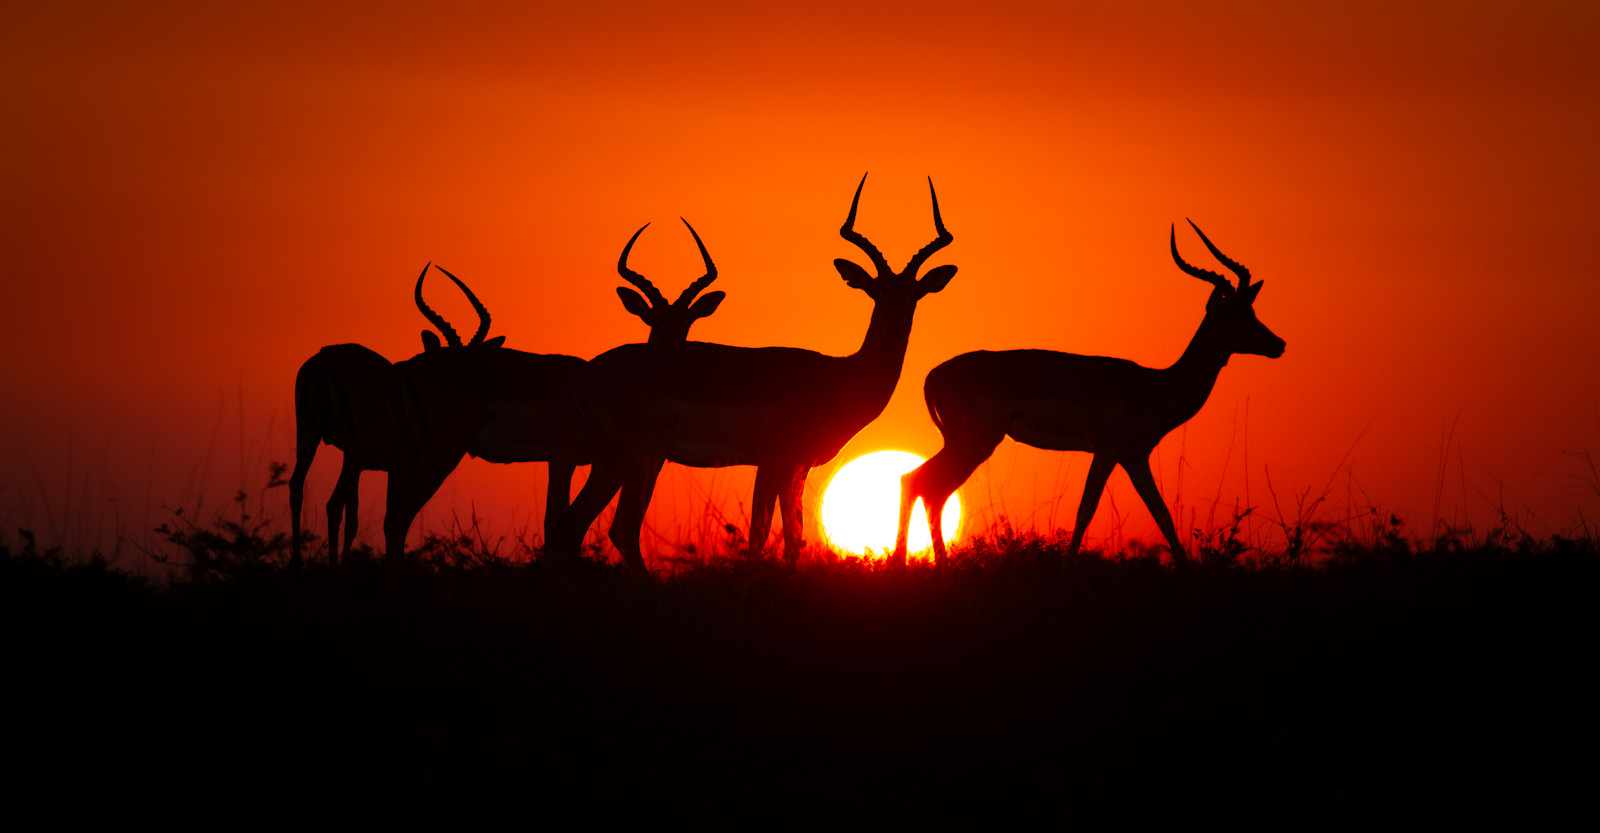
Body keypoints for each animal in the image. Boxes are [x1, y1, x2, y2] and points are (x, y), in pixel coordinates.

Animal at [288, 263, 502, 570]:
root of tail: (325, 363)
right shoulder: (403, 466)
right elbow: (393, 521)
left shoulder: (374, 466)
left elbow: (357, 518)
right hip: (353, 449)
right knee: (333, 504)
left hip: (310, 437)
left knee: (297, 488)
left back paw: (297, 565)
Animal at [382, 221, 723, 561]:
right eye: (652, 320)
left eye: (689, 321)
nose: (673, 360)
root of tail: (405, 369)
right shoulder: (563, 457)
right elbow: (555, 522)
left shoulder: (599, 463)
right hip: (440, 453)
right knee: (398, 517)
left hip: (413, 455)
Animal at [576, 174, 958, 573]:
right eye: (877, 292)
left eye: (915, 294)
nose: (897, 327)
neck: (837, 376)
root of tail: (587, 373)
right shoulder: (779, 462)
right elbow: (773, 534)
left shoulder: (792, 466)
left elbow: (783, 535)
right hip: (641, 457)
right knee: (622, 526)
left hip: (611, 462)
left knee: (577, 520)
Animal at [893, 220, 1284, 566]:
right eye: (1234, 314)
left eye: (1251, 309)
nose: (1278, 344)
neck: (1154, 385)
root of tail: (933, 375)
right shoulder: (1106, 450)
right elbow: (1085, 510)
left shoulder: (1135, 457)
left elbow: (1162, 514)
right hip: (976, 442)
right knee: (925, 484)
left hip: (962, 442)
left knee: (917, 482)